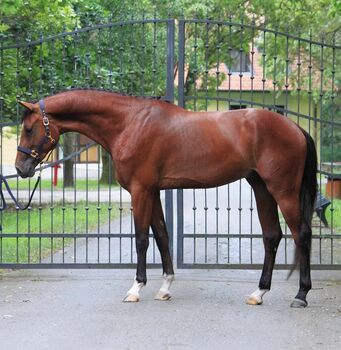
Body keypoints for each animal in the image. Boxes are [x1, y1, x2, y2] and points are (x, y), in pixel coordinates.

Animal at [13, 89, 316, 308]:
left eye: (28, 128)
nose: (20, 168)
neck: (129, 124)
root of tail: (296, 128)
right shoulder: (154, 191)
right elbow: (162, 235)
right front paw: (165, 287)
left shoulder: (140, 191)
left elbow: (142, 240)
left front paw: (136, 288)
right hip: (261, 188)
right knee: (272, 236)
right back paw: (258, 293)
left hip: (283, 191)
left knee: (301, 234)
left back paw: (301, 295)